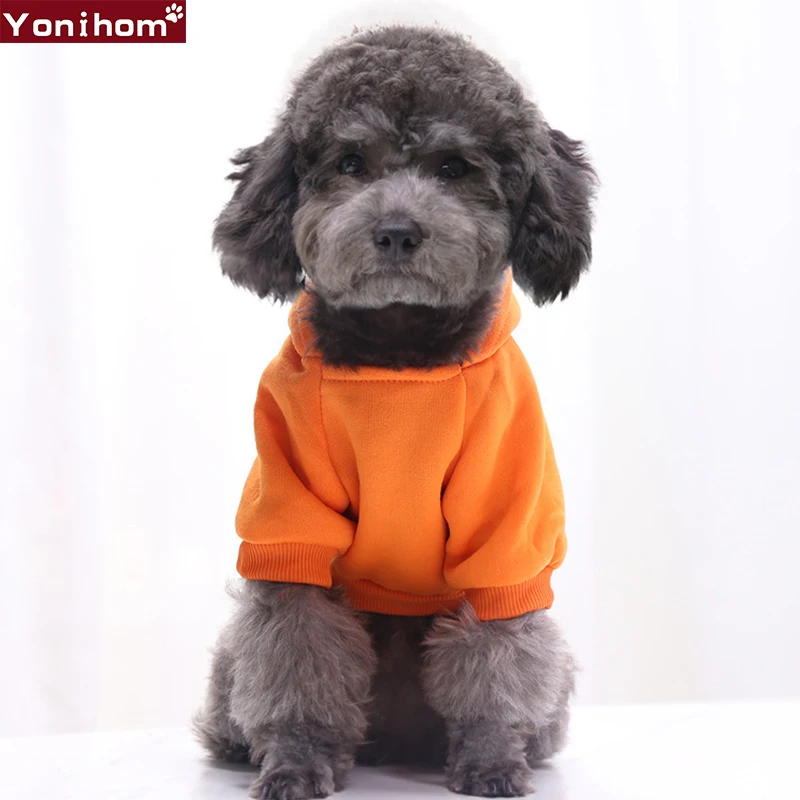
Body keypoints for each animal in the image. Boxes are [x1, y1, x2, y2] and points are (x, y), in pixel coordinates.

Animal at [194, 24, 596, 800]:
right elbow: (296, 654)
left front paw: (491, 759)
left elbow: (496, 655)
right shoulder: (289, 525)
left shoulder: (506, 533)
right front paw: (295, 761)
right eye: (351, 162)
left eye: (454, 168)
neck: (400, 358)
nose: (399, 231)